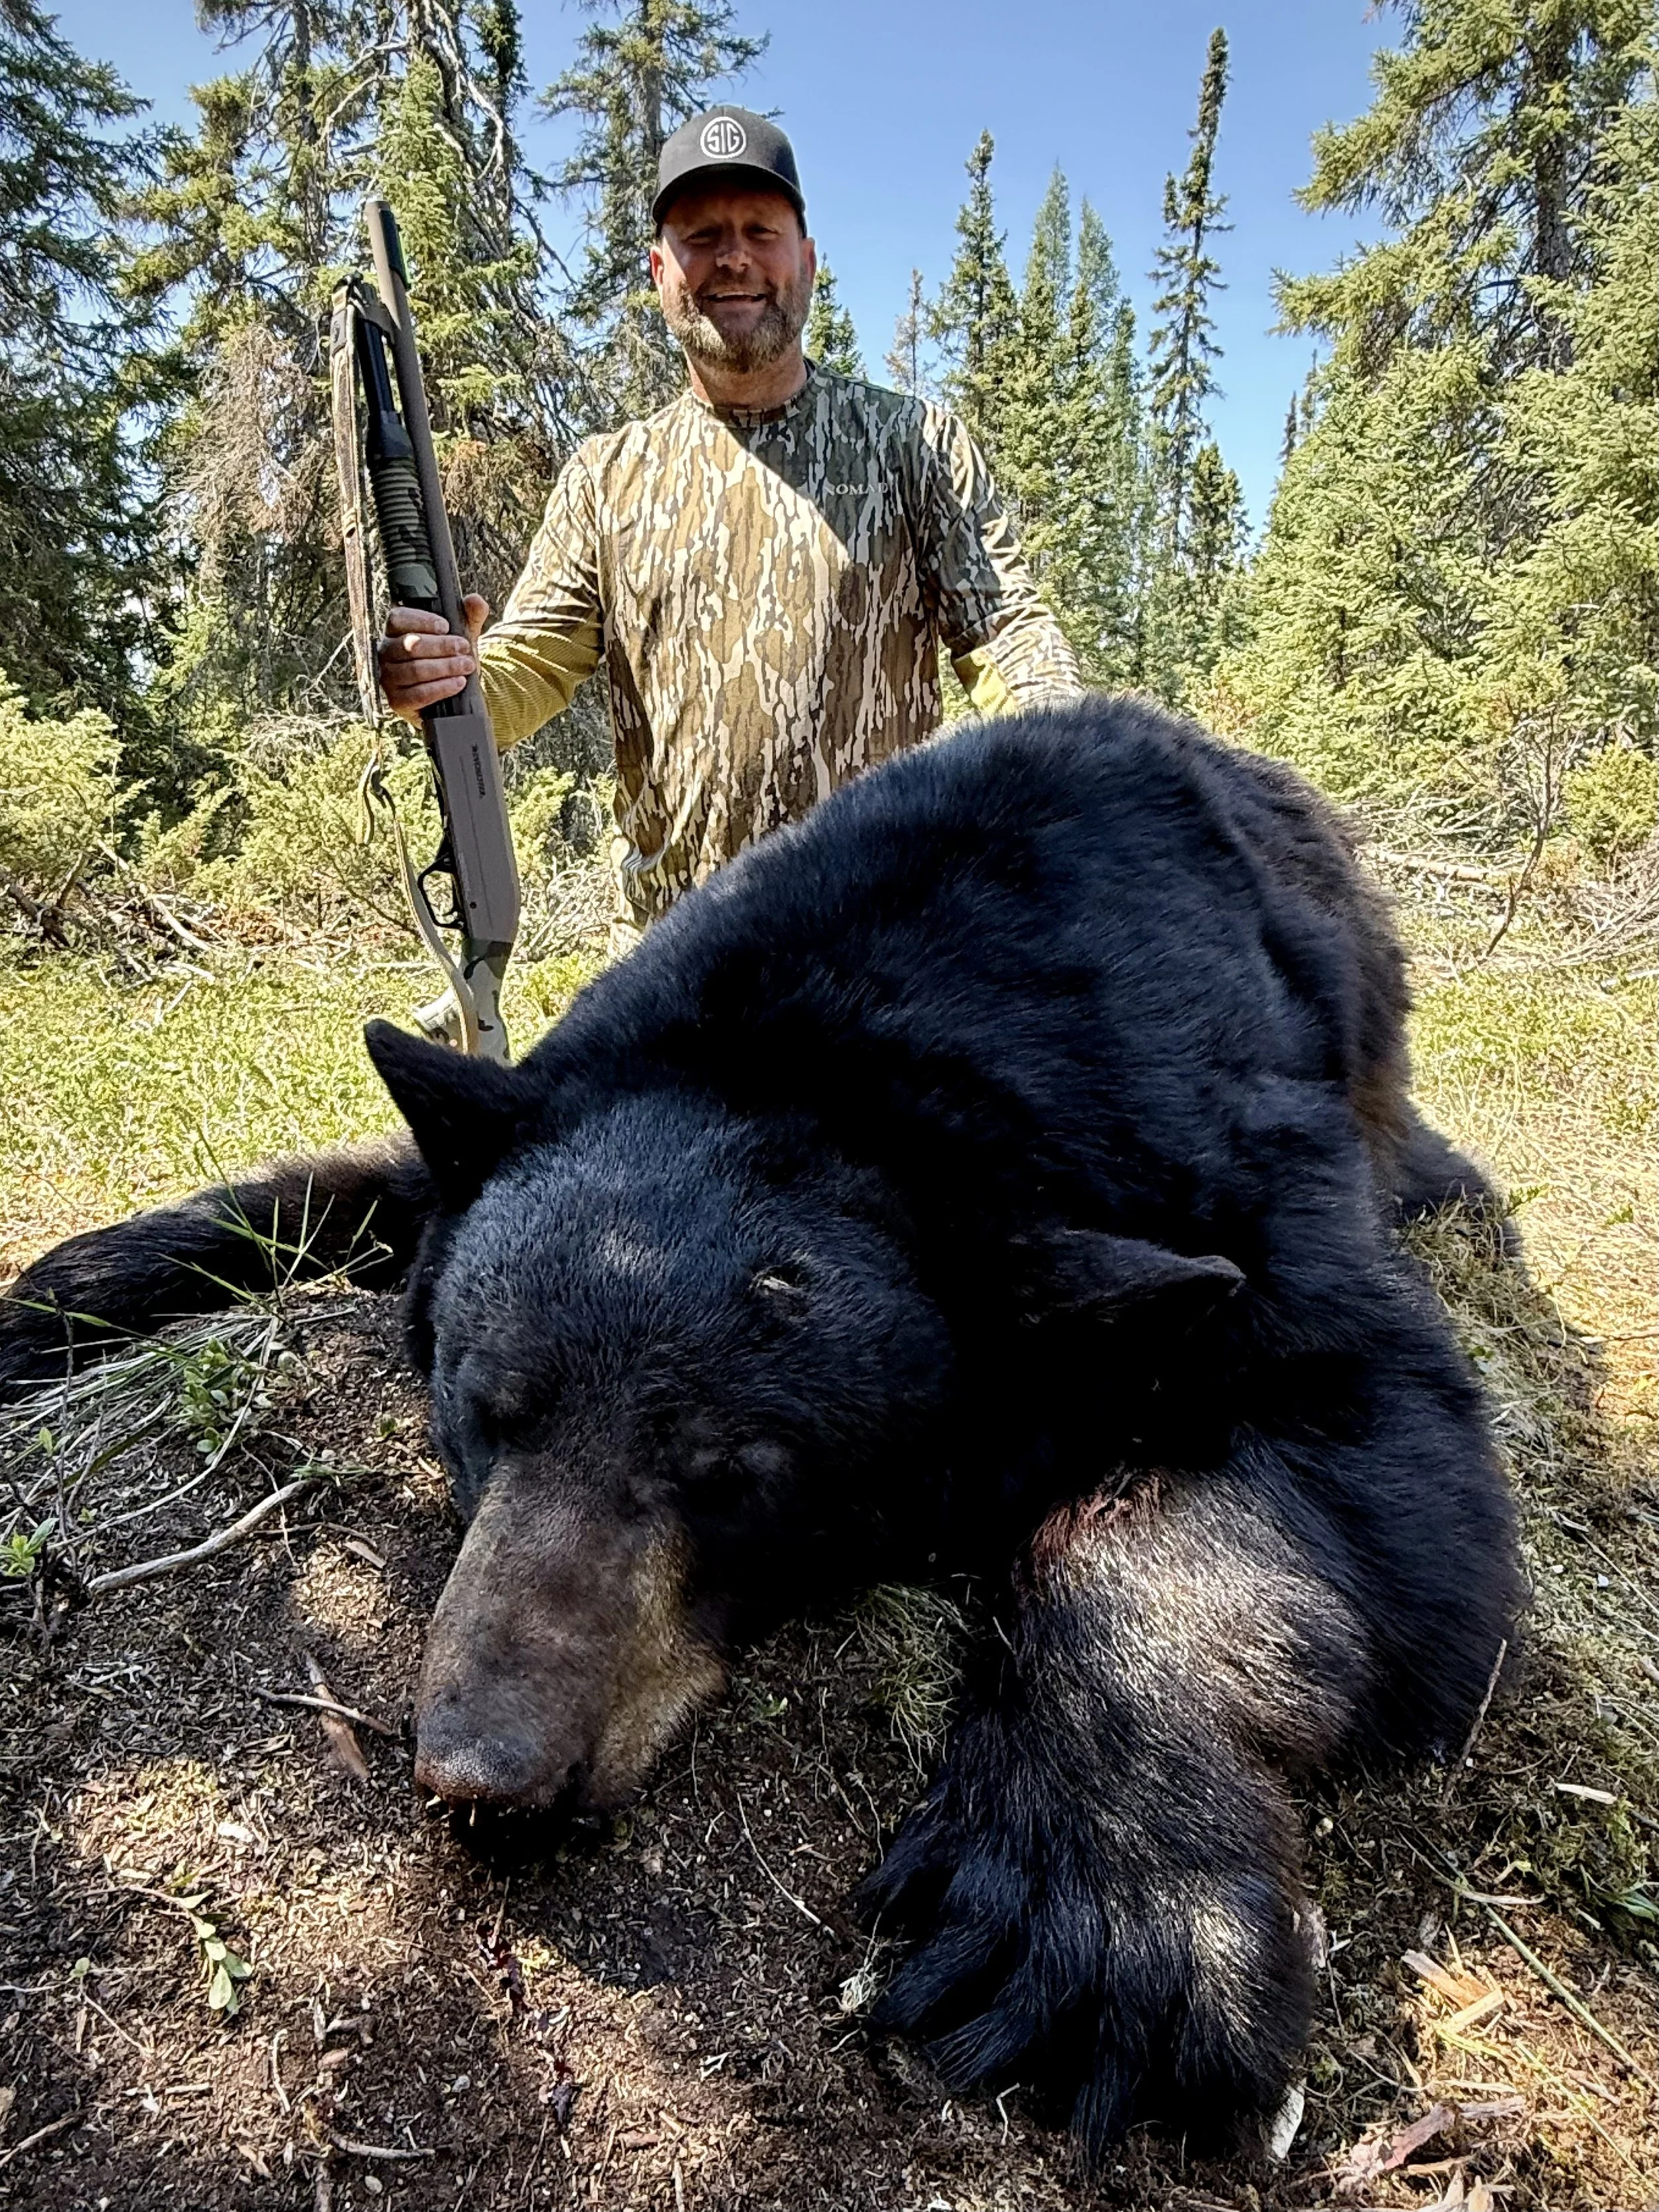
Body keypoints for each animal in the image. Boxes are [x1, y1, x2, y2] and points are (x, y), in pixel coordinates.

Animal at [0, 696, 1524, 2157]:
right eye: (482, 1409)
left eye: (738, 1476)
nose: (483, 1771)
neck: (844, 1056)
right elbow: (347, 1179)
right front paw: (57, 1294)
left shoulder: (1224, 1175)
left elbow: (1370, 1445)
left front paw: (1106, 1919)